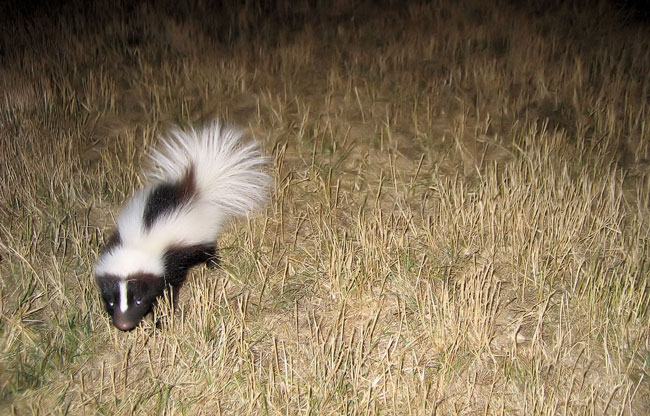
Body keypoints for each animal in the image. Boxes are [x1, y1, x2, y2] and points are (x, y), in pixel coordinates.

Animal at [93, 121, 268, 332]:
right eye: (111, 301)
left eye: (139, 300)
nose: (124, 324)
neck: (139, 243)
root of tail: (192, 189)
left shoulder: (168, 264)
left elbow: (166, 294)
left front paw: (161, 322)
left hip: (200, 238)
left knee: (208, 249)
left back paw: (213, 264)